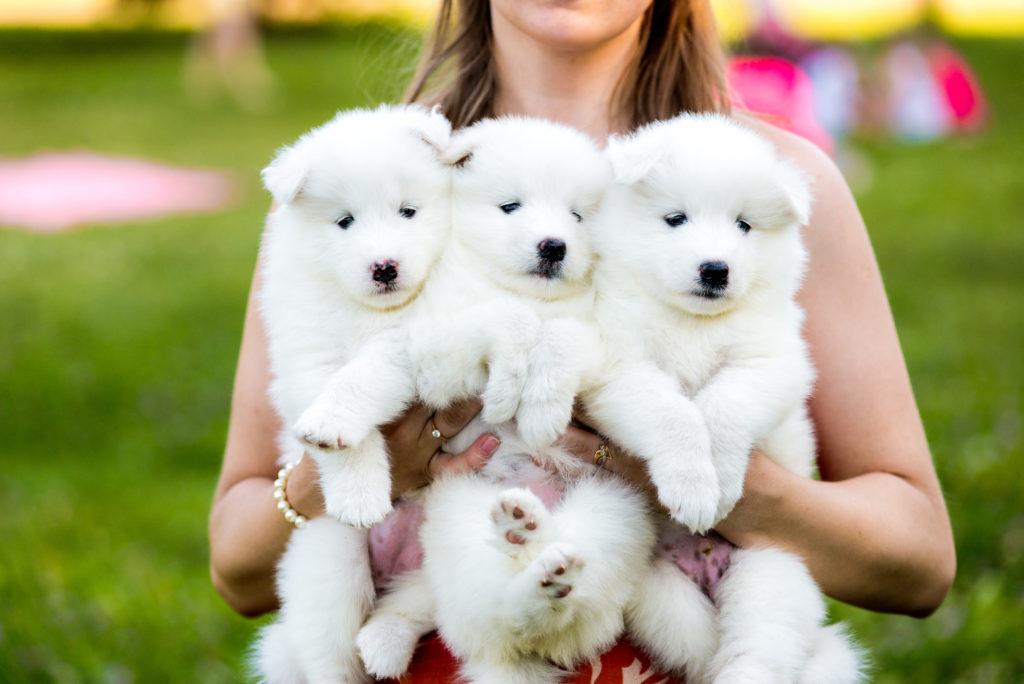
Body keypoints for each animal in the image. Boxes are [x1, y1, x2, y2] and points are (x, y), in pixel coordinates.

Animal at [253, 105, 450, 684]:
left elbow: (365, 375)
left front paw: (337, 422)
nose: (384, 267)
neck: (368, 312)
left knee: (417, 603)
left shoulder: (420, 337)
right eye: (344, 222)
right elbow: (337, 403)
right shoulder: (307, 354)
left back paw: (385, 642)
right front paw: (358, 491)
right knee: (331, 654)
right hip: (328, 562)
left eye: (408, 211)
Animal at [352, 117, 655, 684]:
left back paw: (542, 561)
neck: (527, 295)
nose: (554, 246)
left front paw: (540, 407)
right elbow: (502, 324)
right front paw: (507, 385)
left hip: (611, 509)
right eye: (511, 206)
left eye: (577, 216)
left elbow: (560, 339)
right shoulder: (438, 332)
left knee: (572, 612)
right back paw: (523, 544)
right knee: (498, 613)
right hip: (459, 513)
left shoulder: (598, 331)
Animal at [593, 114, 864, 679]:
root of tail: (706, 567)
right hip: (654, 589)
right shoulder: (619, 364)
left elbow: (723, 404)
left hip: (773, 569)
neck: (694, 322)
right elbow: (672, 412)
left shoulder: (771, 361)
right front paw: (694, 487)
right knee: (699, 651)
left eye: (744, 225)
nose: (715, 269)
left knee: (756, 649)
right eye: (676, 219)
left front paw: (716, 480)